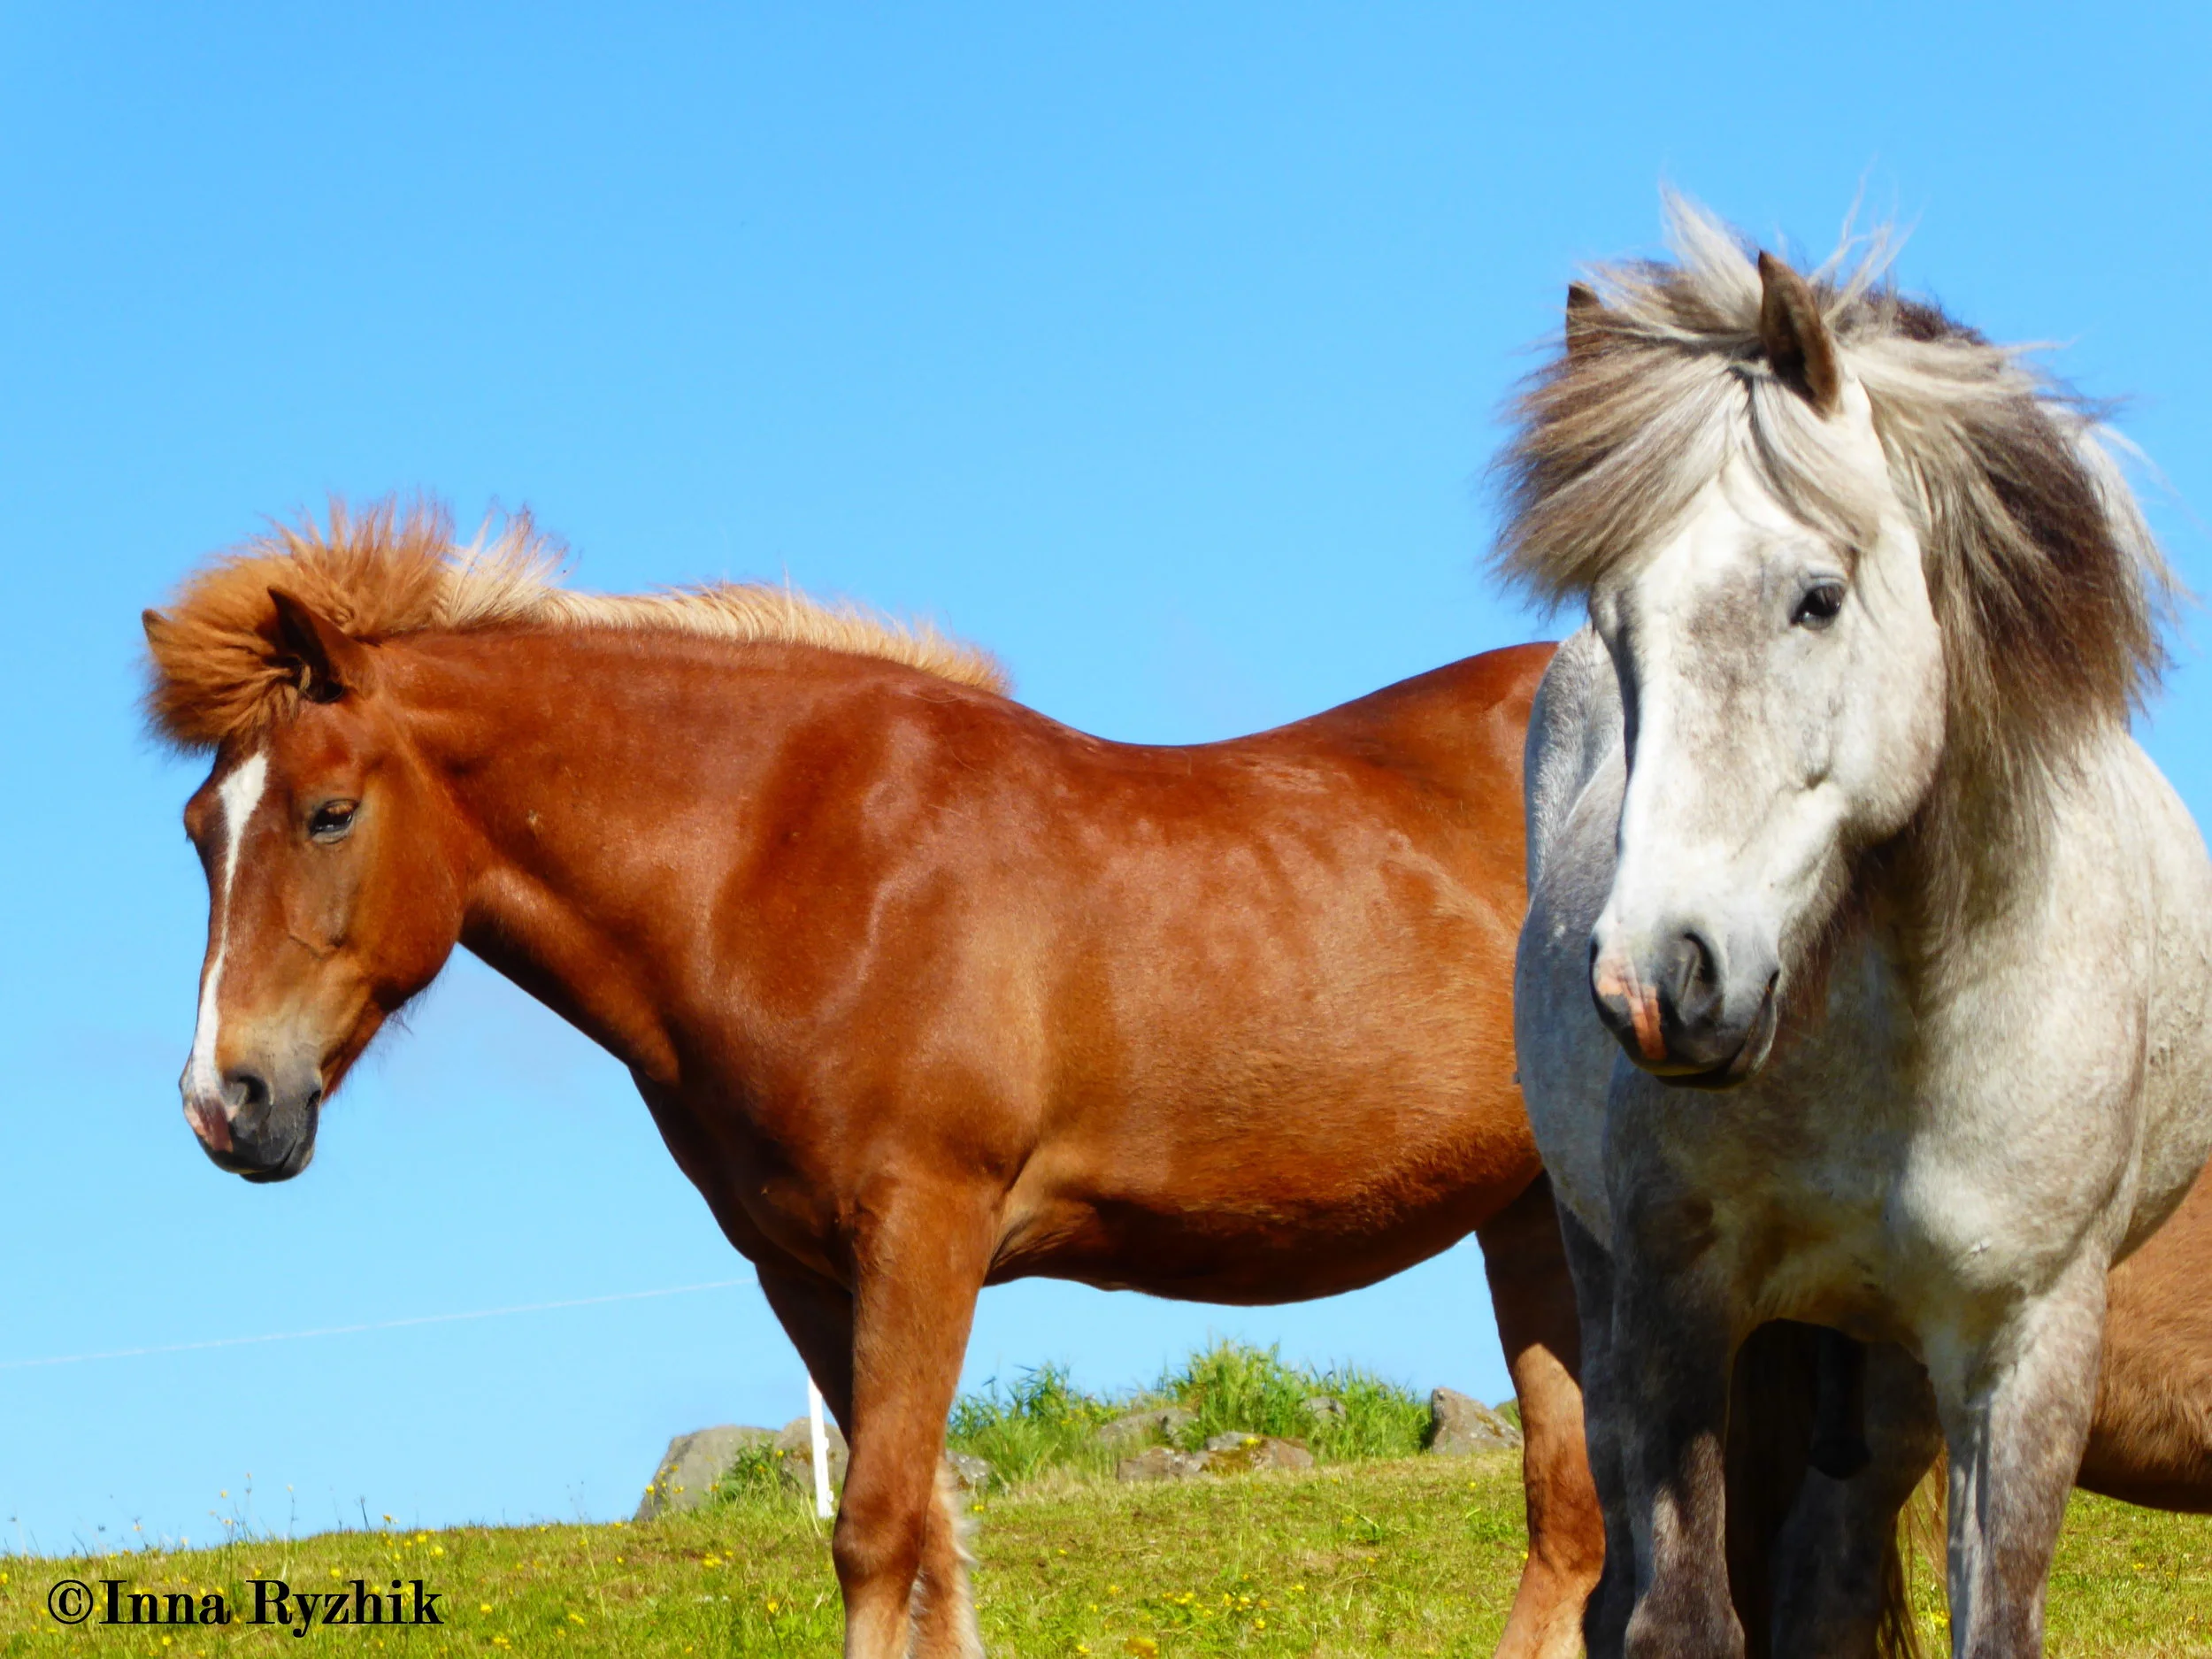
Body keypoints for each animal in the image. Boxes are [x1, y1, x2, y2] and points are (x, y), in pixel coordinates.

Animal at [142, 501, 1600, 1659]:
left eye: (330, 810)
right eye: (201, 826)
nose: (228, 1102)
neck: (791, 859)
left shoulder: (926, 1234)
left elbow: (881, 1534)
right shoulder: (805, 1270)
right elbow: (931, 1551)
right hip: (1536, 1216)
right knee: (1572, 1518)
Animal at [1503, 199, 2212, 1658]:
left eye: (1816, 597)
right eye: (1615, 619)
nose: (1659, 980)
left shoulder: (2026, 1345)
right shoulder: (1677, 1307)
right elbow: (1679, 1614)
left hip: (1888, 1383)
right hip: (1605, 1292)